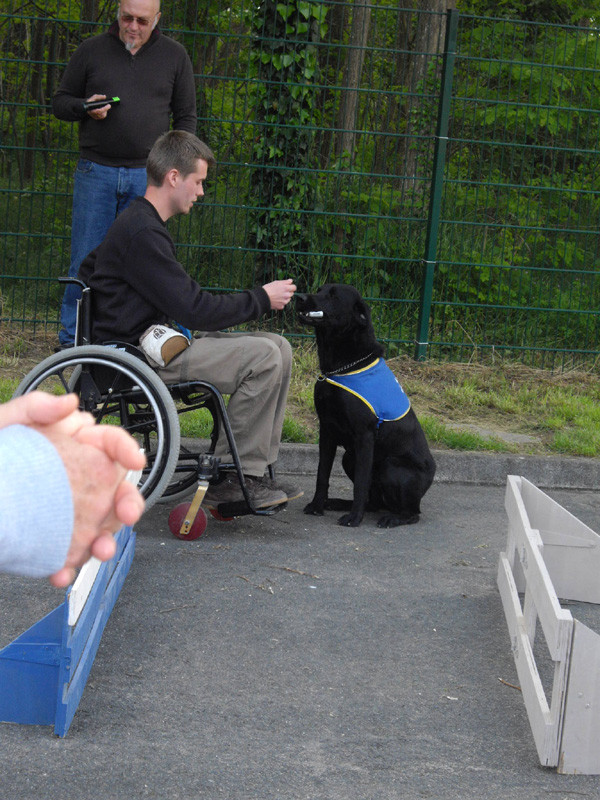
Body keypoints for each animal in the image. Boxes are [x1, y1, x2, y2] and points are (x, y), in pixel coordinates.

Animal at [296, 284, 434, 528]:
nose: (299, 297)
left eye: (333, 295)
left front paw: (354, 519)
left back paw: (392, 518)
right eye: (319, 290)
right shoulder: (326, 430)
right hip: (349, 457)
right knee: (375, 502)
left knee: (412, 513)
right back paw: (338, 503)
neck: (342, 367)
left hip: (390, 466)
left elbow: (360, 484)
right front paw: (317, 506)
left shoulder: (364, 436)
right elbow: (322, 474)